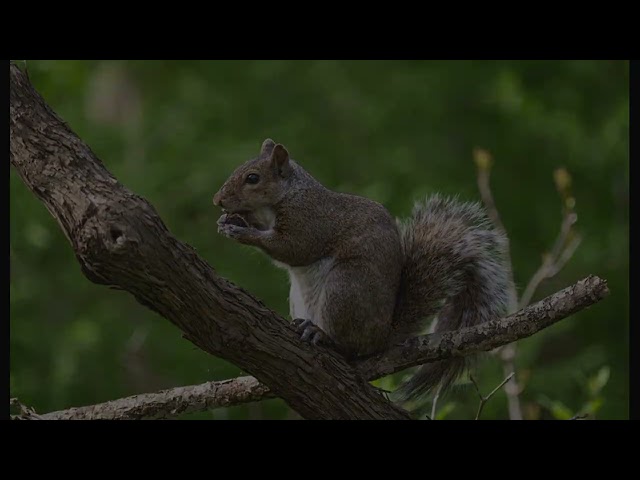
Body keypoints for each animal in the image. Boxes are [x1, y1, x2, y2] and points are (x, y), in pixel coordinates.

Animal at [213, 139, 510, 401]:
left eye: (253, 178)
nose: (218, 200)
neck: (287, 195)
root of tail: (384, 337)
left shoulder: (310, 221)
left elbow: (292, 249)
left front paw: (242, 232)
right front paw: (230, 220)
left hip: (344, 289)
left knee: (349, 348)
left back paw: (322, 335)